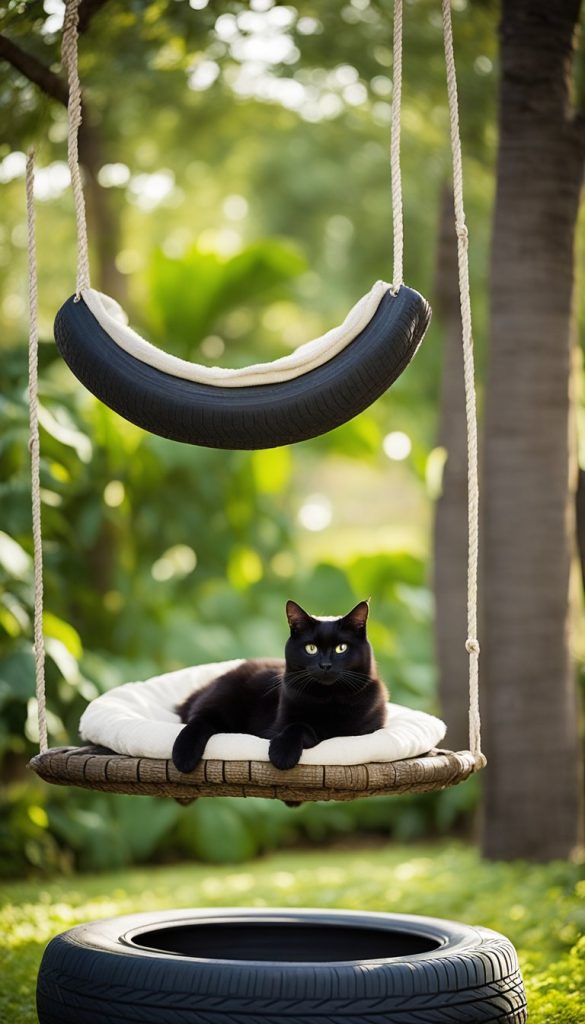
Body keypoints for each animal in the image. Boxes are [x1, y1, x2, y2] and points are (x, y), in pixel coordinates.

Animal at [172, 598, 387, 770]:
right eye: (311, 648)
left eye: (341, 648)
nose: (325, 665)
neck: (328, 698)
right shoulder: (278, 725)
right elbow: (298, 725)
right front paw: (282, 753)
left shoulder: (362, 731)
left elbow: (308, 728)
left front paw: (281, 753)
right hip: (225, 698)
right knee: (199, 720)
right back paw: (183, 756)